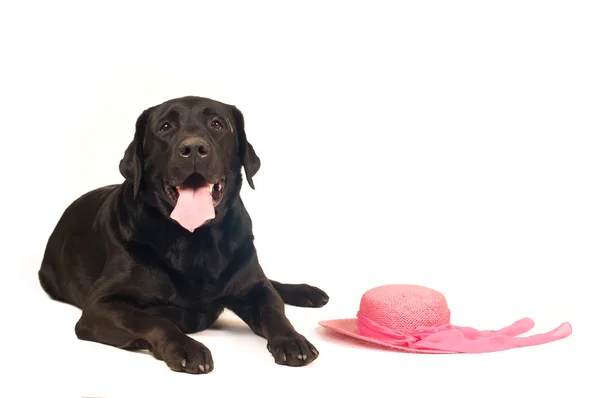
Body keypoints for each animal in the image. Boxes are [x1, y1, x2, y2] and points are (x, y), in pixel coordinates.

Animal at [38, 95, 328, 374]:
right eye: (165, 127)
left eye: (217, 124)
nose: (194, 149)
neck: (195, 239)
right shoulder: (100, 305)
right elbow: (155, 320)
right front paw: (187, 348)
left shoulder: (256, 289)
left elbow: (275, 311)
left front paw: (293, 340)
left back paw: (308, 292)